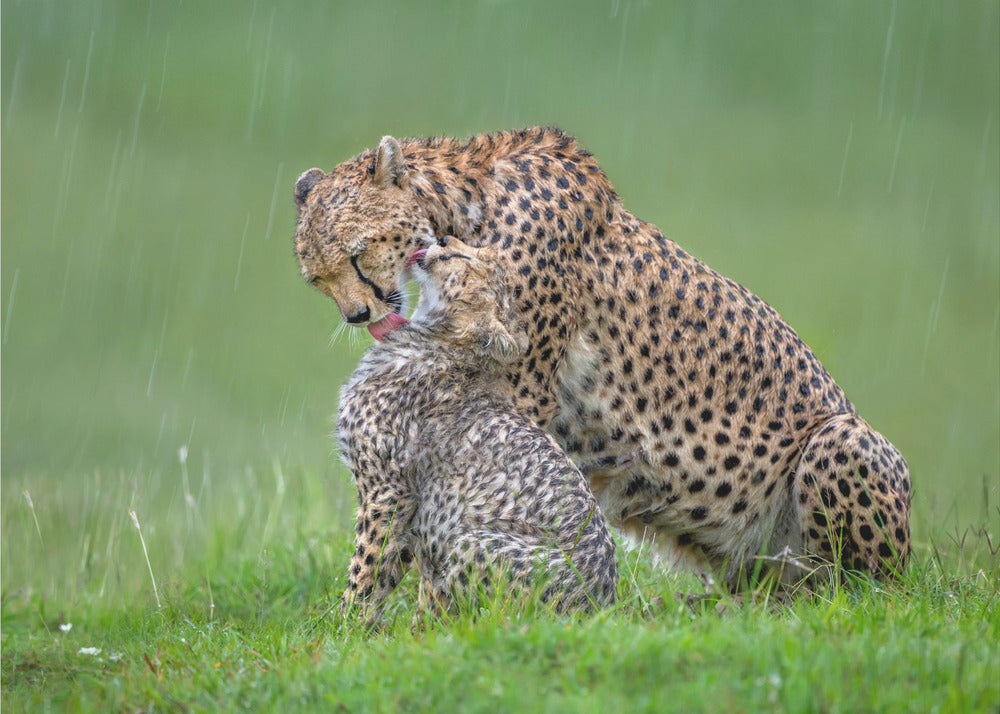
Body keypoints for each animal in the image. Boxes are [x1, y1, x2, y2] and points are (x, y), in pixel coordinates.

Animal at [337, 234, 618, 619]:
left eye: (464, 259)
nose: (443, 238)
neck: (437, 342)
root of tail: (602, 604)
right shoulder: (409, 506)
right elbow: (390, 568)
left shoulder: (388, 490)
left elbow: (367, 568)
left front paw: (342, 625)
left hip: (470, 541)